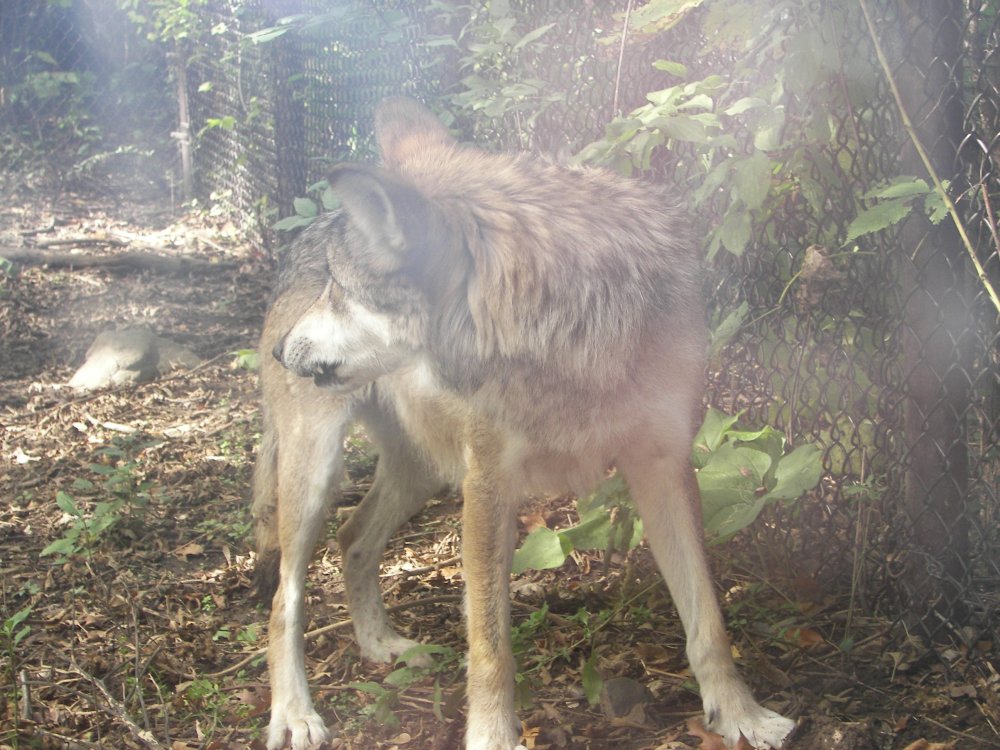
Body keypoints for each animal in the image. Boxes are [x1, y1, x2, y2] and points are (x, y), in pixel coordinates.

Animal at [258, 98, 796, 750]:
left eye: (340, 288)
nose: (280, 351)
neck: (574, 334)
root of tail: (297, 240)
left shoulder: (664, 465)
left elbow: (709, 619)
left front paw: (742, 716)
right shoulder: (489, 484)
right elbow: (491, 648)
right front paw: (493, 737)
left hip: (423, 472)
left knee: (353, 539)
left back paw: (383, 645)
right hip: (317, 475)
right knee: (284, 600)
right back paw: (294, 712)